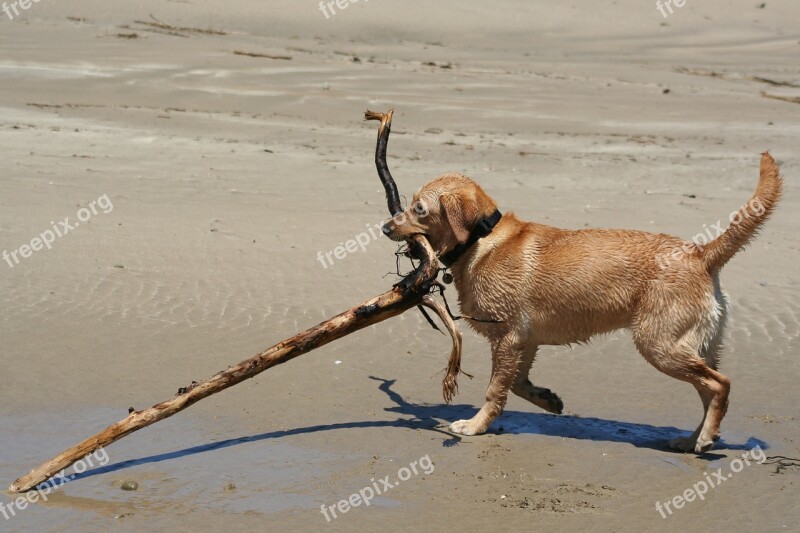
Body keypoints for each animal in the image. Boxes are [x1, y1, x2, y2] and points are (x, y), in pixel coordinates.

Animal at [382, 152, 780, 450]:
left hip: (660, 345)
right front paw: (546, 399)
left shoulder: (508, 339)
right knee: (708, 389)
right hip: (694, 347)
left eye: (419, 208)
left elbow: (496, 390)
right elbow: (518, 383)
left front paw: (476, 425)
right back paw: (694, 439)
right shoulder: (525, 342)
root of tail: (700, 253)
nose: (385, 227)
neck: (481, 239)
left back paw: (706, 437)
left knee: (720, 384)